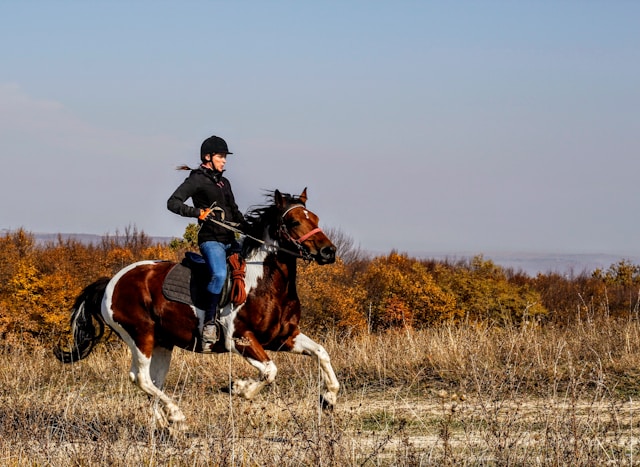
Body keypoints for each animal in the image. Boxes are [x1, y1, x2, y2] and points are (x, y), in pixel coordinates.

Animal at [55, 188, 340, 426]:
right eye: (294, 222)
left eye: (315, 218)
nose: (328, 252)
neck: (264, 281)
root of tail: (112, 282)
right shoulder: (240, 339)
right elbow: (270, 370)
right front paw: (239, 388)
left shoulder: (283, 337)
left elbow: (321, 353)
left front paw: (329, 399)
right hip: (140, 336)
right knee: (141, 378)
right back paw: (176, 416)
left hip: (162, 343)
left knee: (153, 382)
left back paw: (164, 424)